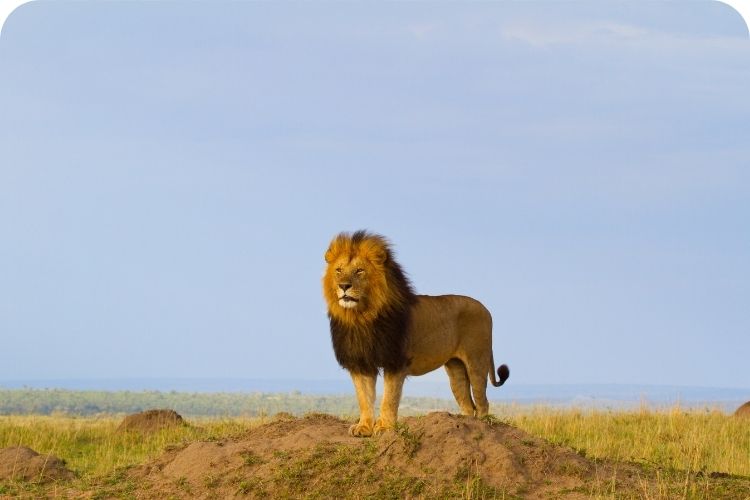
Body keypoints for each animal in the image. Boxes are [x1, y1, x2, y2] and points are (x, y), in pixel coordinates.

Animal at [323, 230, 510, 437]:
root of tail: (485, 308)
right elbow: (364, 398)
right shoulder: (360, 364)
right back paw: (463, 426)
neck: (361, 318)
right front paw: (363, 428)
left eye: (359, 271)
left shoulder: (395, 362)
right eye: (339, 270)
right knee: (468, 404)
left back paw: (482, 429)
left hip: (477, 360)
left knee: (482, 403)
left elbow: (389, 398)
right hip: (456, 368)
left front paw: (385, 427)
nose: (343, 286)